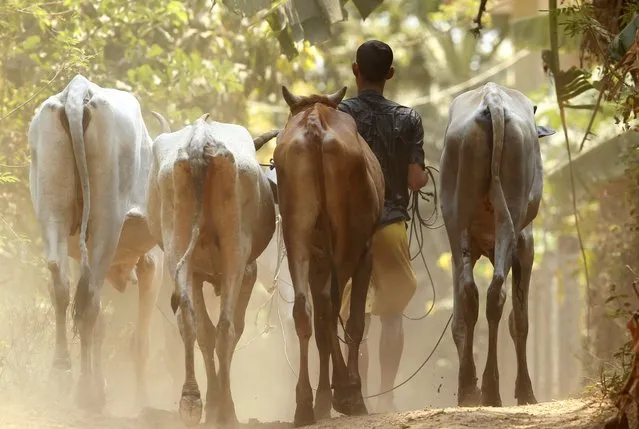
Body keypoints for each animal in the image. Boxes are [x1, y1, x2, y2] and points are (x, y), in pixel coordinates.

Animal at [28, 73, 162, 408]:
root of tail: (78, 91)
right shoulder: (154, 263)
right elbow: (139, 341)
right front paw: (142, 402)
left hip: (52, 211)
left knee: (61, 285)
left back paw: (61, 374)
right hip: (106, 221)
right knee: (88, 295)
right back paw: (87, 390)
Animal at [148, 112, 278, 426]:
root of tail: (199, 139)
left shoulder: (195, 272)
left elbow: (202, 330)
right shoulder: (249, 271)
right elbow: (229, 330)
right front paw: (218, 404)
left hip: (178, 247)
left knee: (191, 321)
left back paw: (191, 401)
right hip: (235, 254)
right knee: (226, 328)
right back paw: (226, 410)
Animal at [276, 84, 384, 424]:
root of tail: (314, 123)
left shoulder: (316, 258)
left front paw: (324, 397)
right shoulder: (366, 253)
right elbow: (354, 322)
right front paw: (345, 392)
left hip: (296, 232)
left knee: (306, 311)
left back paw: (305, 404)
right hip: (347, 239)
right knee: (334, 305)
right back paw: (347, 393)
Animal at [440, 82, 556, 406]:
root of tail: (491, 99)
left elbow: (460, 321)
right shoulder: (526, 245)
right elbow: (520, 321)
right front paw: (525, 391)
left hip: (456, 221)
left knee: (470, 295)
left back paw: (470, 388)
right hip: (511, 215)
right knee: (497, 294)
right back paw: (491, 389)